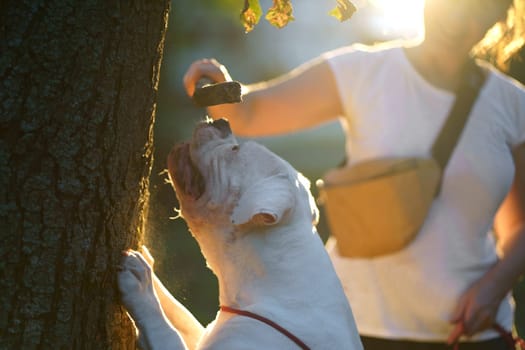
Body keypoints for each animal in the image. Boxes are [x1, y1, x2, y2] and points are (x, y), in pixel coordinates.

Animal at [116, 119, 362, 348]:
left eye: (235, 150)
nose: (220, 121)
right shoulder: (202, 334)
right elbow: (180, 313)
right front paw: (149, 266)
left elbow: (165, 328)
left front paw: (141, 284)